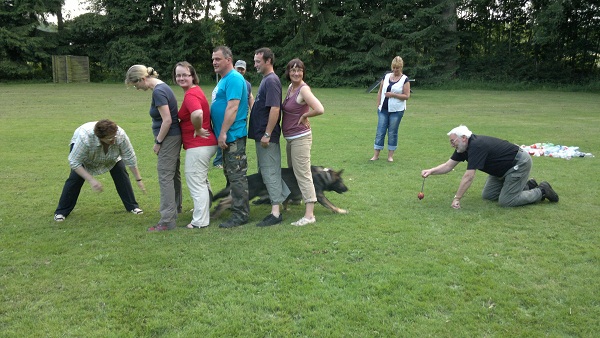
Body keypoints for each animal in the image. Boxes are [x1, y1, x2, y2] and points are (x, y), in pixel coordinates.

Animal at [212, 165, 350, 218]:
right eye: (341, 181)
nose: (347, 189)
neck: (323, 176)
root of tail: (248, 178)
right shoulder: (319, 196)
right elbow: (331, 205)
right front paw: (341, 211)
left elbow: (286, 201)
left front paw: (286, 209)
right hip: (247, 194)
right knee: (223, 202)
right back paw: (216, 213)